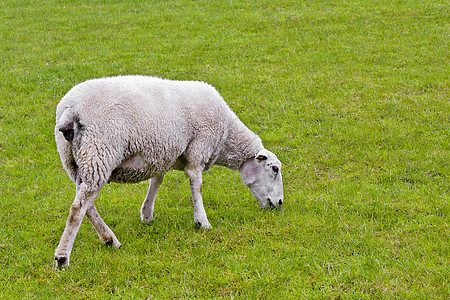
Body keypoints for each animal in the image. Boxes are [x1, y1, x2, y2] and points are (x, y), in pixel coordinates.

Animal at [54, 75, 284, 268]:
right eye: (274, 168)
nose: (280, 203)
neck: (226, 136)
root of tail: (71, 109)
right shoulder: (198, 150)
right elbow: (196, 184)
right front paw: (202, 221)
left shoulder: (163, 155)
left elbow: (157, 180)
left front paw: (147, 214)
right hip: (99, 152)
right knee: (78, 208)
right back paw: (63, 258)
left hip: (76, 162)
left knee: (87, 206)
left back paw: (110, 240)